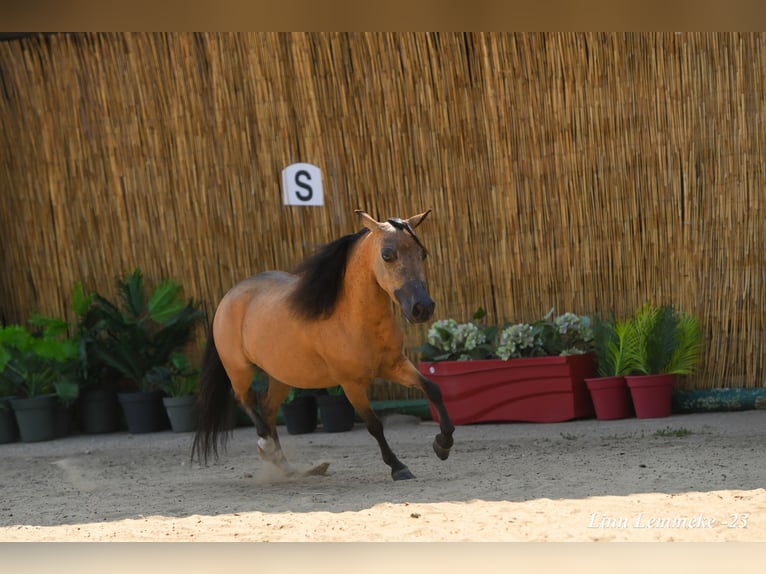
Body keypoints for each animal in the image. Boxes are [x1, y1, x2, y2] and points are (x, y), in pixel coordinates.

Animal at [194, 210, 456, 482]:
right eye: (387, 254)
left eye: (422, 253)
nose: (422, 308)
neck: (355, 319)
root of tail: (228, 298)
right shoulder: (352, 385)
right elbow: (374, 424)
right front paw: (398, 467)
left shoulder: (394, 366)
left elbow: (433, 389)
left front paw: (443, 445)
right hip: (239, 370)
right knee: (244, 401)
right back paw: (266, 445)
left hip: (281, 377)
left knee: (267, 410)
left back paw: (286, 466)